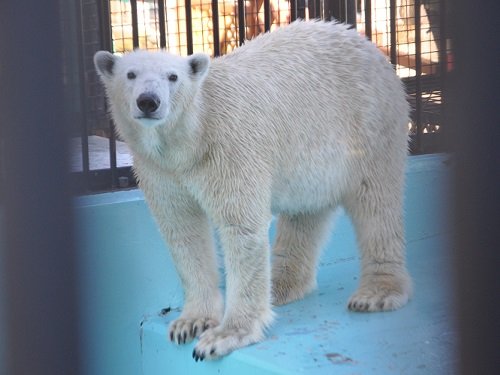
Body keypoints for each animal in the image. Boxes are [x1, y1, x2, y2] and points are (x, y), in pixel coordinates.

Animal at [95, 19, 412, 362]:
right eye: (130, 74)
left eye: (172, 77)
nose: (148, 101)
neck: (193, 136)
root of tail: (369, 47)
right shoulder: (160, 169)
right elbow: (183, 231)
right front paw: (190, 323)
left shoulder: (229, 147)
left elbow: (241, 227)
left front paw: (223, 336)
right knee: (306, 211)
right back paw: (281, 285)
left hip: (369, 124)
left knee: (376, 203)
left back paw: (376, 293)